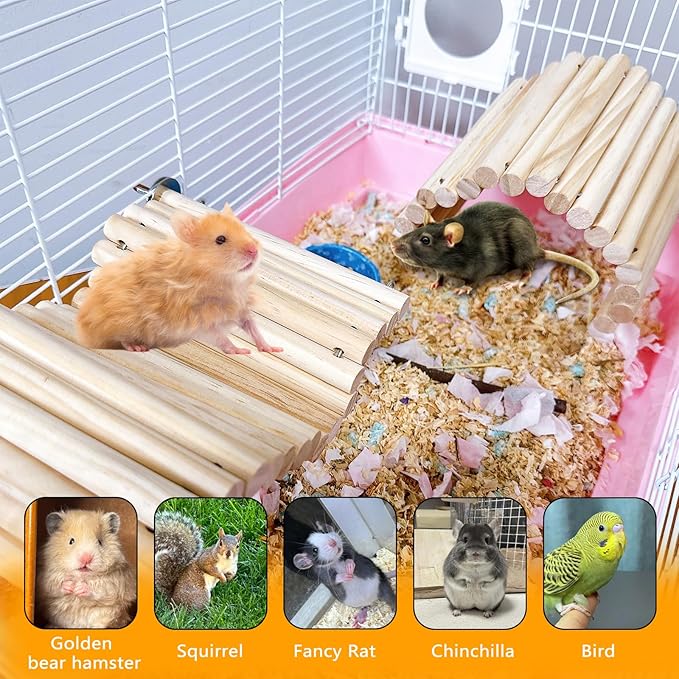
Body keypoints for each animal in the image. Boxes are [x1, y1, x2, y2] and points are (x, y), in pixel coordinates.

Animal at [76, 204, 283, 354]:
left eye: (243, 229)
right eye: (220, 239)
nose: (254, 250)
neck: (228, 280)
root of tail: (82, 328)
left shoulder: (241, 309)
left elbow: (253, 327)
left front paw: (272, 349)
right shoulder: (200, 320)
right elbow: (221, 338)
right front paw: (241, 351)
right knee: (120, 338)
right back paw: (137, 347)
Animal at [391, 201, 599, 304]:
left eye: (425, 240)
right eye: (416, 230)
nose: (393, 245)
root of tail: (536, 249)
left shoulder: (480, 267)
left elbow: (473, 281)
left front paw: (464, 288)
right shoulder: (441, 269)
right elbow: (439, 275)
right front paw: (436, 283)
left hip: (520, 243)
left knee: (528, 269)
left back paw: (514, 282)